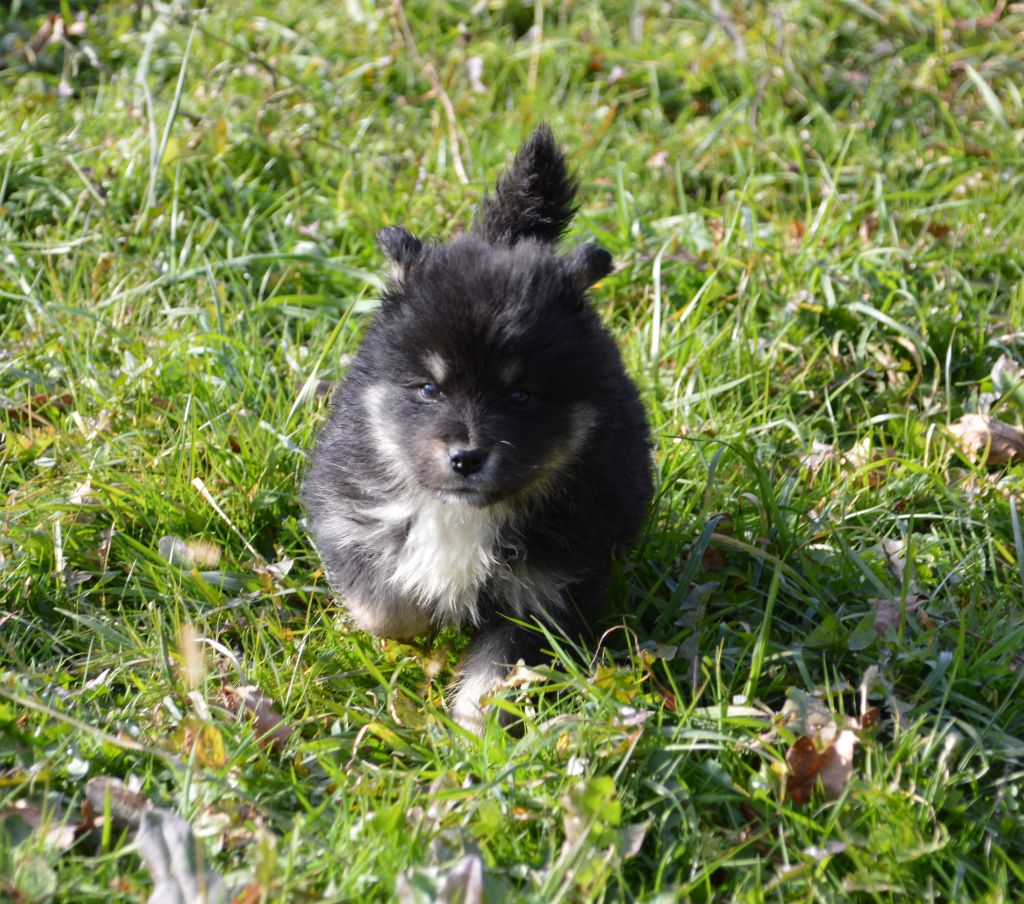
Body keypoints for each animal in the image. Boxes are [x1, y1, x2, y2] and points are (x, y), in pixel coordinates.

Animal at [303, 125, 655, 737]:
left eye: (520, 396)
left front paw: (476, 737)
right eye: (428, 389)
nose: (466, 457)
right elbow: (384, 609)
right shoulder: (349, 519)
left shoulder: (545, 592)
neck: (461, 513)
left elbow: (496, 676)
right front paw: (422, 616)